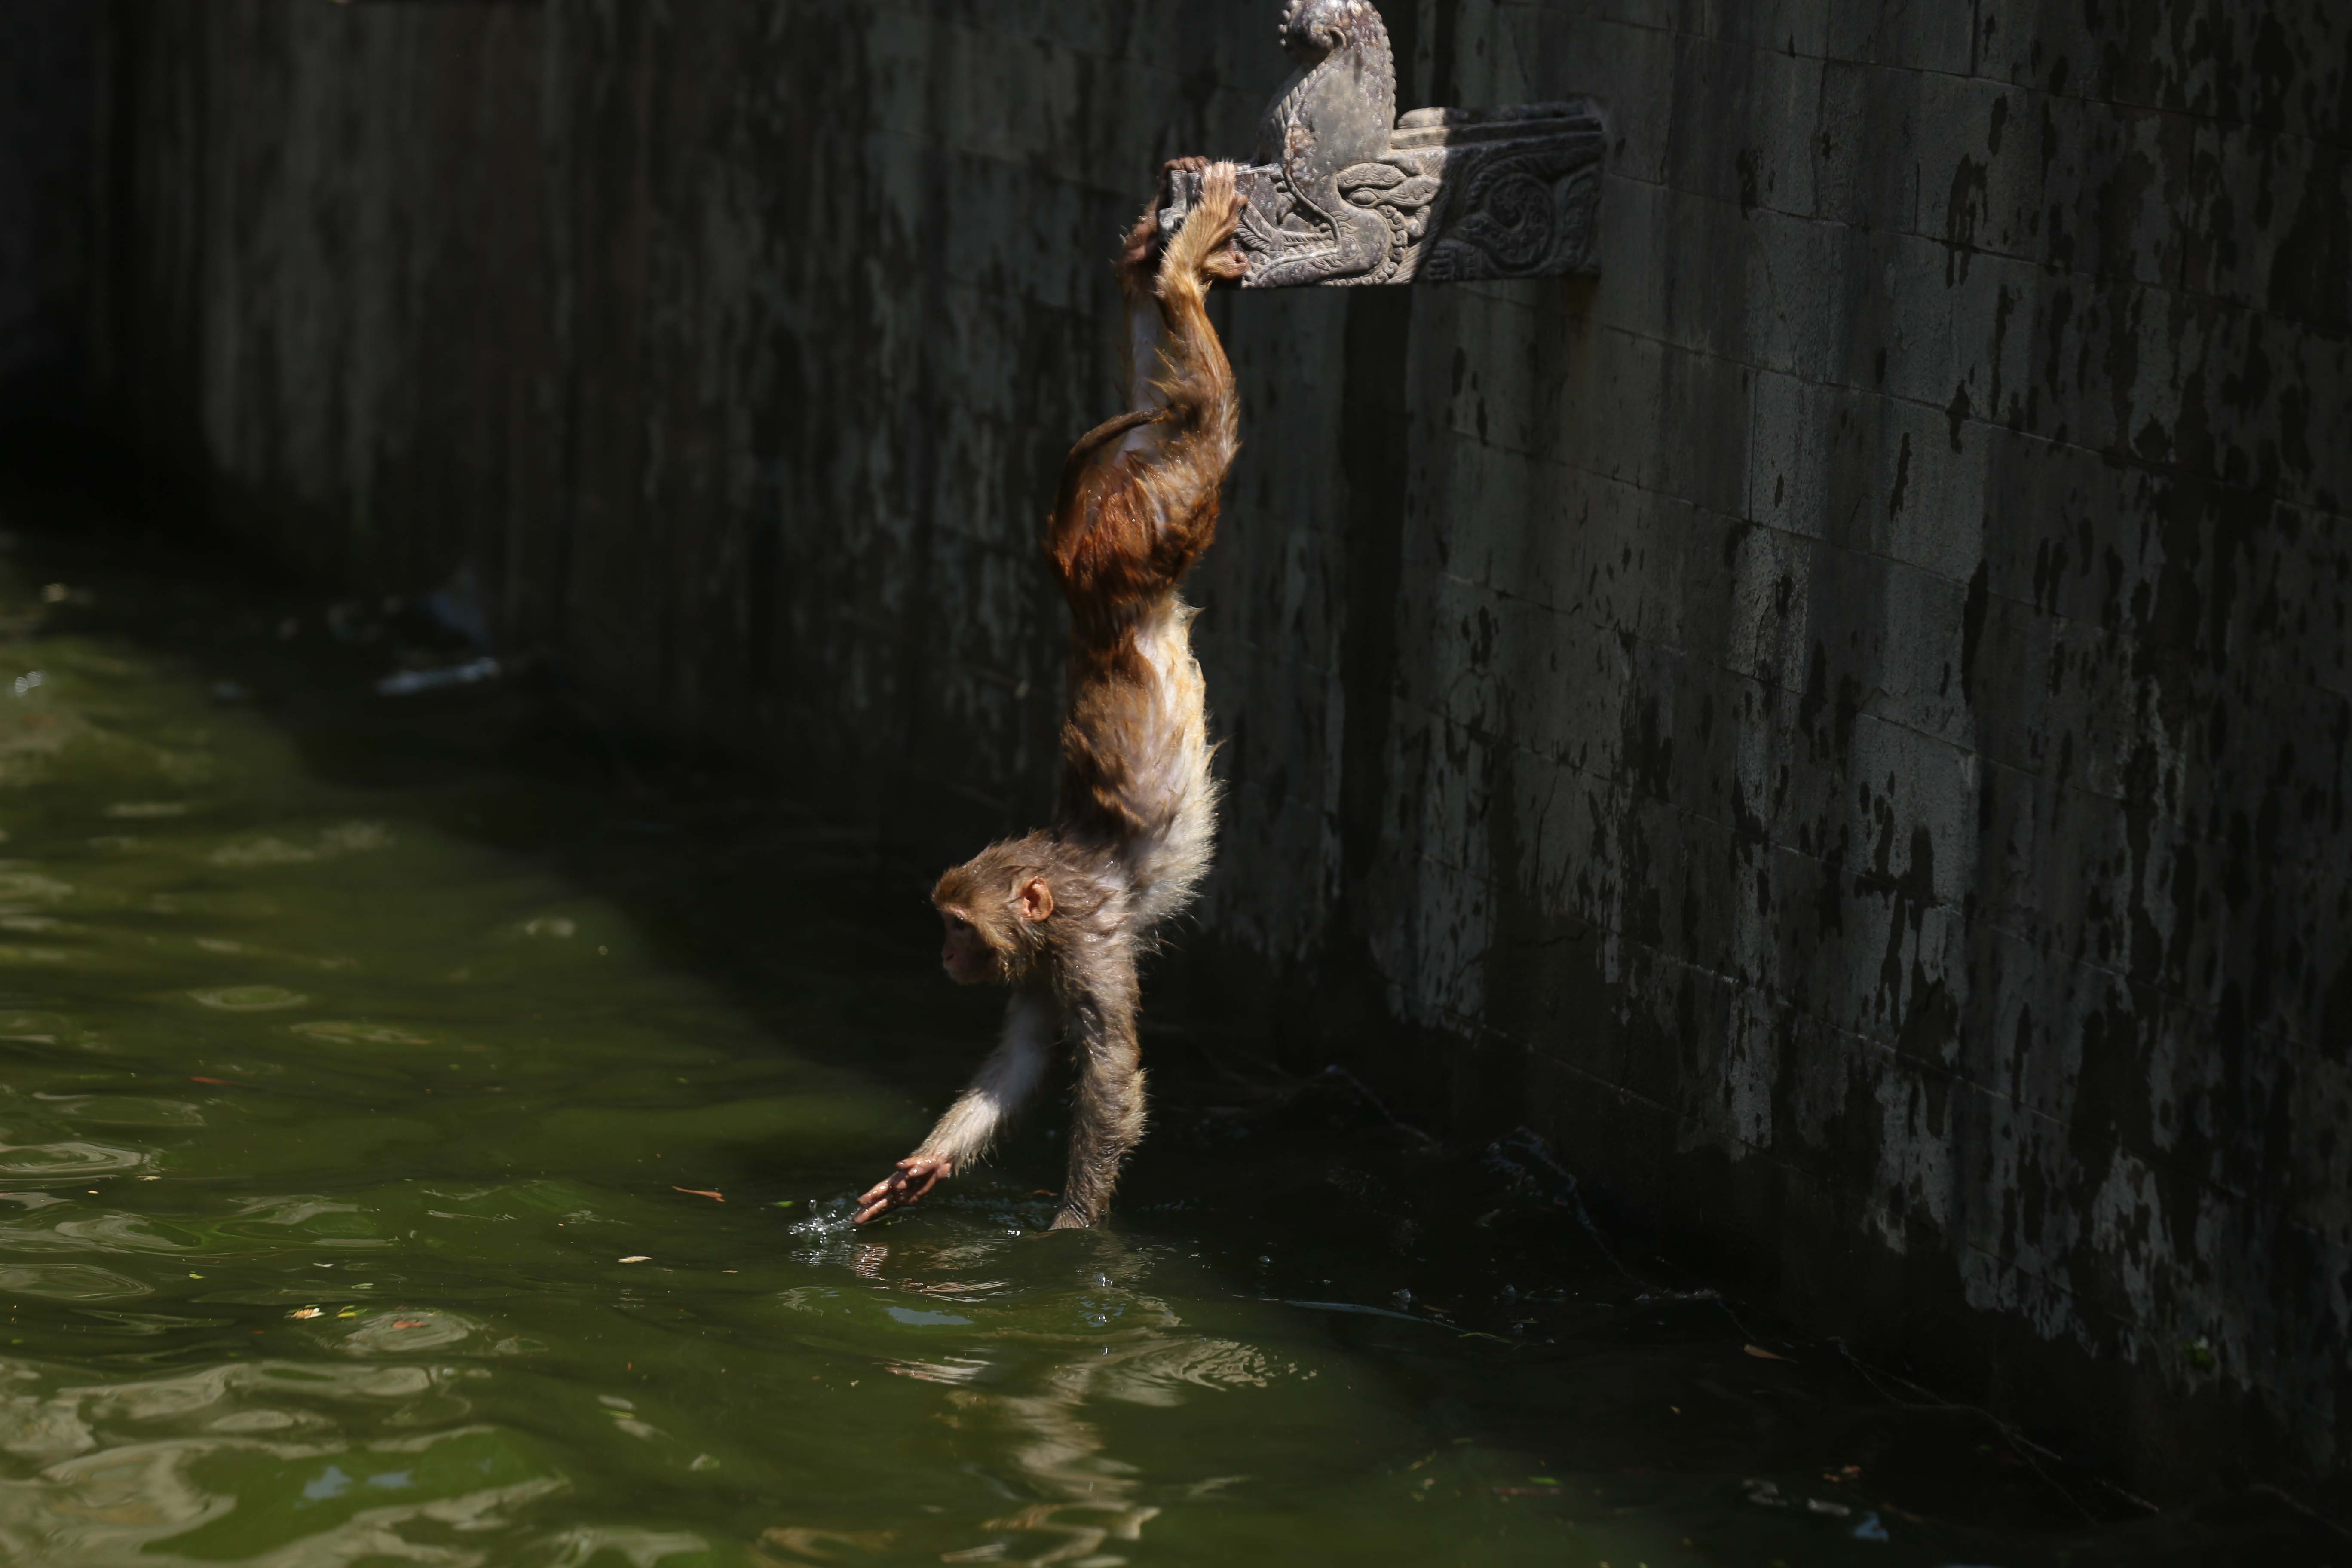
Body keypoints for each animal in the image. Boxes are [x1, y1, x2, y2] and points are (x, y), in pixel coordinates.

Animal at [854, 162, 1249, 1232]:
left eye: (955, 927)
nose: (944, 959)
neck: (1054, 886)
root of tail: (1079, 574)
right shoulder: (1037, 968)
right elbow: (1023, 1061)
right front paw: (922, 1169)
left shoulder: (1079, 949)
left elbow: (1107, 1075)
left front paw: (1073, 1230)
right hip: (1133, 513)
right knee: (1156, 394)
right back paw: (1148, 271)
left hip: (1148, 524)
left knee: (1199, 423)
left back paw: (1181, 276)